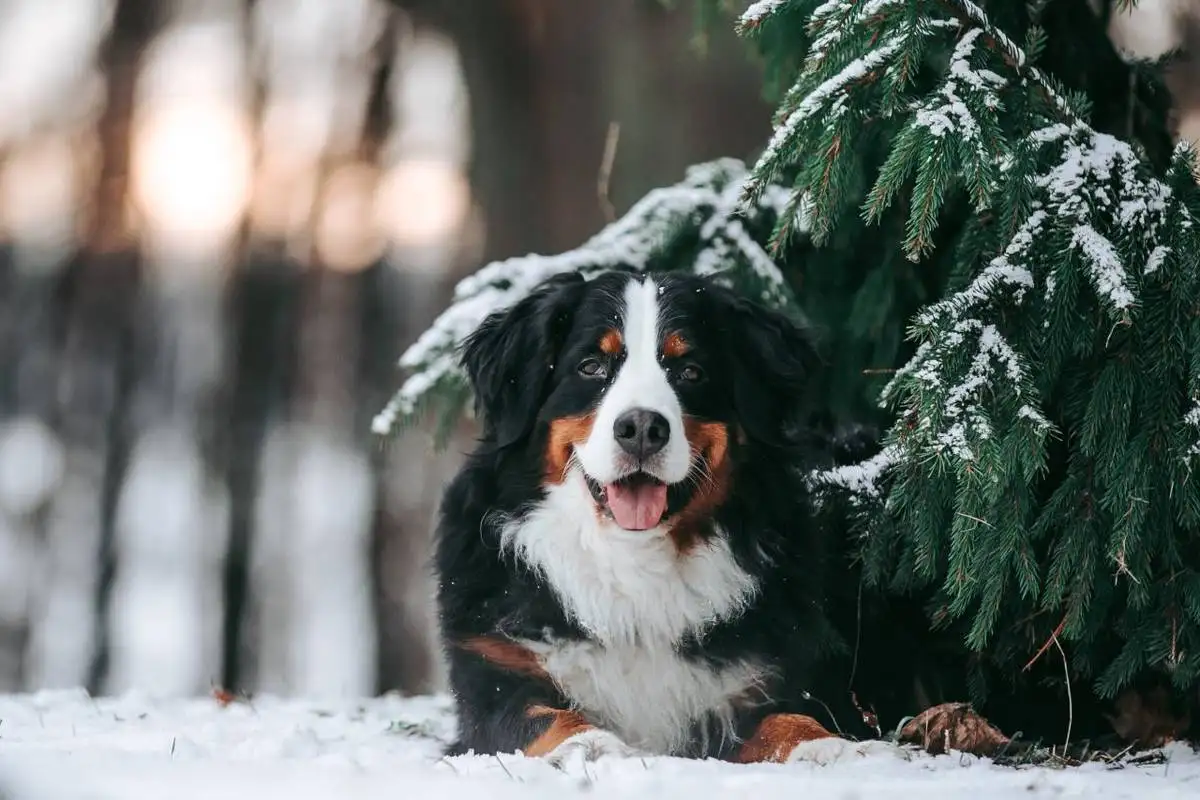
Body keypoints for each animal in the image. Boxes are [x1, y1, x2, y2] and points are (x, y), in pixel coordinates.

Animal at [434, 268, 945, 762]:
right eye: (591, 367)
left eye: (690, 371)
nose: (641, 427)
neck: (634, 565)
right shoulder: (496, 674)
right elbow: (542, 716)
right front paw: (591, 746)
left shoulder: (763, 681)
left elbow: (788, 720)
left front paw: (831, 747)